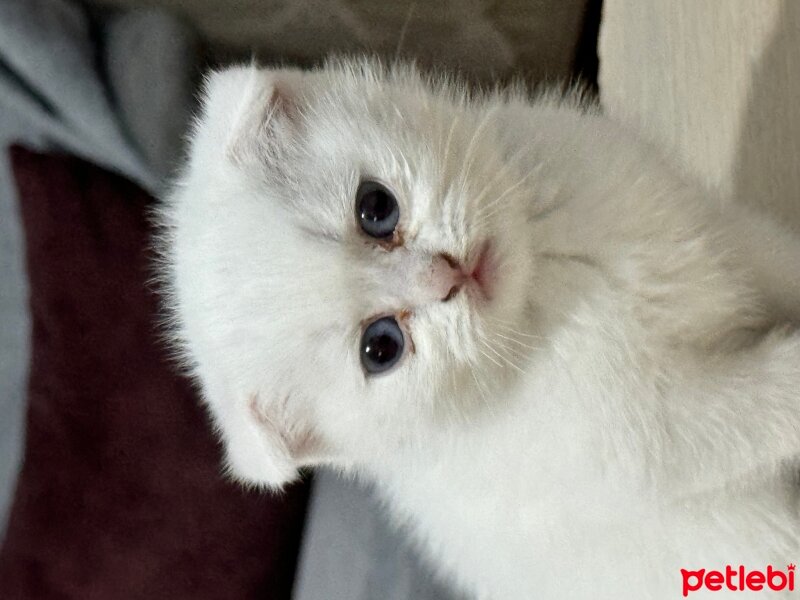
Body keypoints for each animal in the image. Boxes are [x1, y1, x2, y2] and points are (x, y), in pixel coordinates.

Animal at [156, 57, 800, 600]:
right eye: (380, 348)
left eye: (375, 208)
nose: (448, 276)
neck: (546, 272)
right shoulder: (648, 436)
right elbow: (747, 412)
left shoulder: (719, 229)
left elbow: (776, 256)